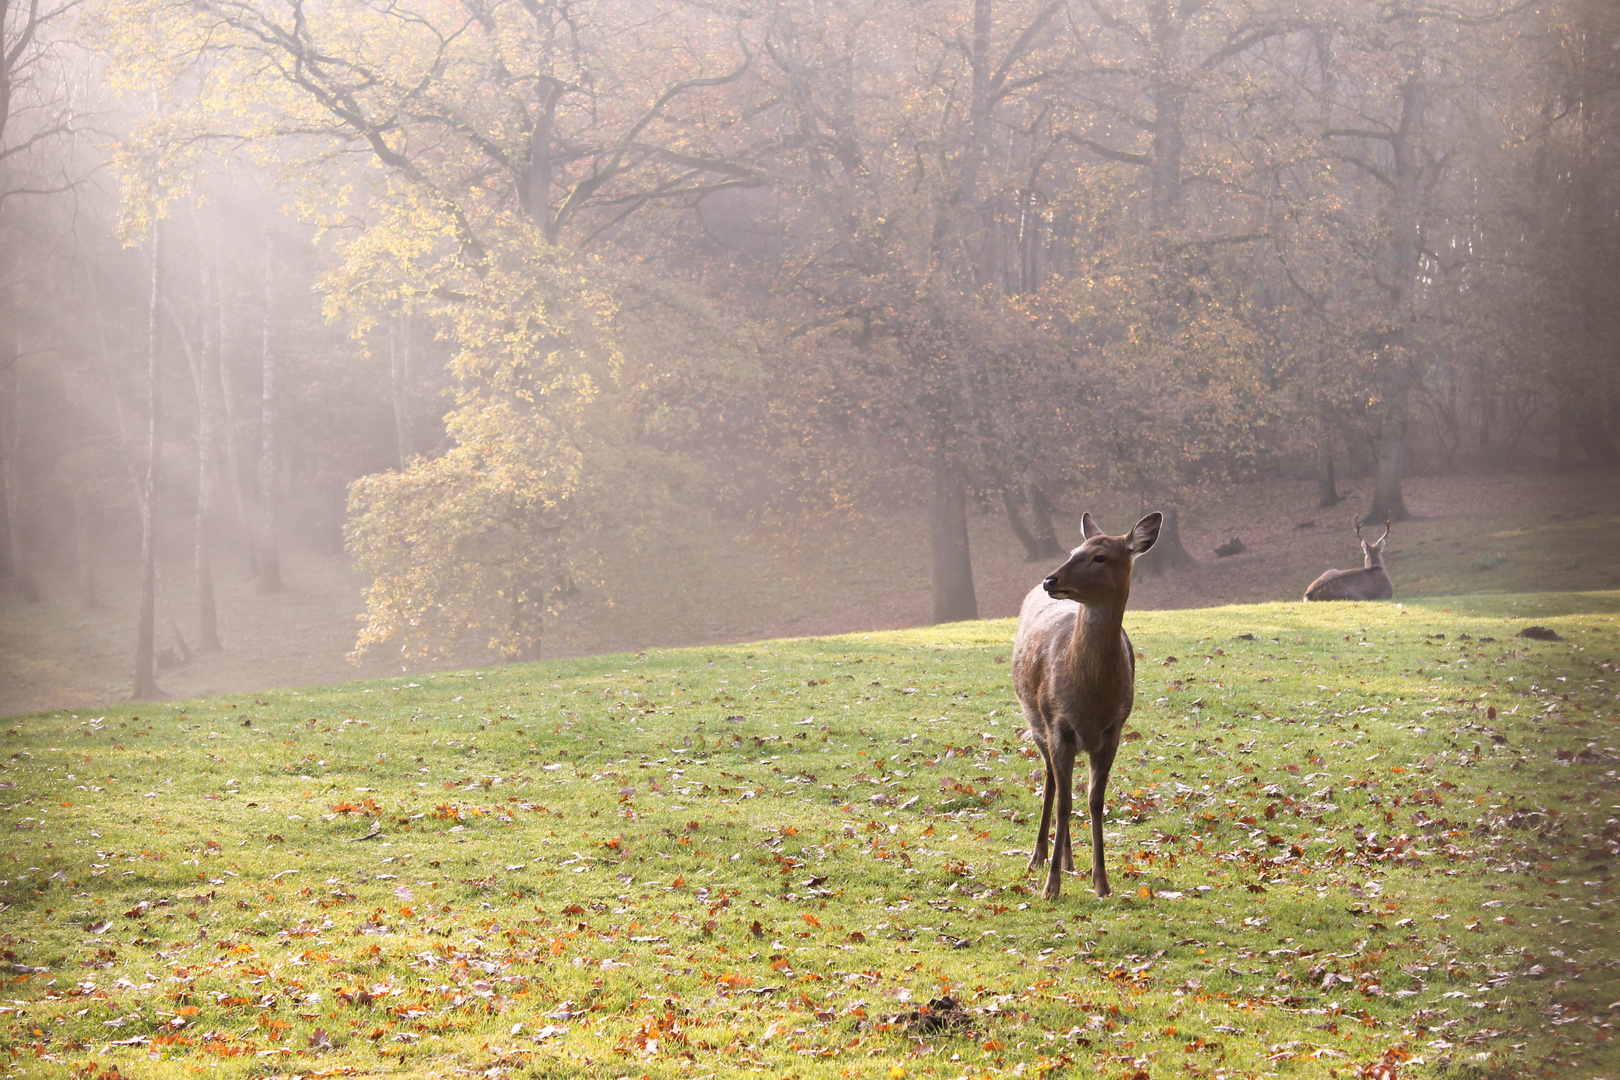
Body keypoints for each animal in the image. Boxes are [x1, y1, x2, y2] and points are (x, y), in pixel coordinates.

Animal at [1004, 511, 1159, 900]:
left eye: (1099, 557)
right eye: (1074, 550)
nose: (1050, 579)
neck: (1091, 700)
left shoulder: (1113, 731)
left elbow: (1094, 801)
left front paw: (1101, 882)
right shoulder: (1058, 727)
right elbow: (1064, 803)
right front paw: (1051, 887)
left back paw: (1069, 861)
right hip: (1036, 723)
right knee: (1051, 783)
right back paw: (1040, 857)